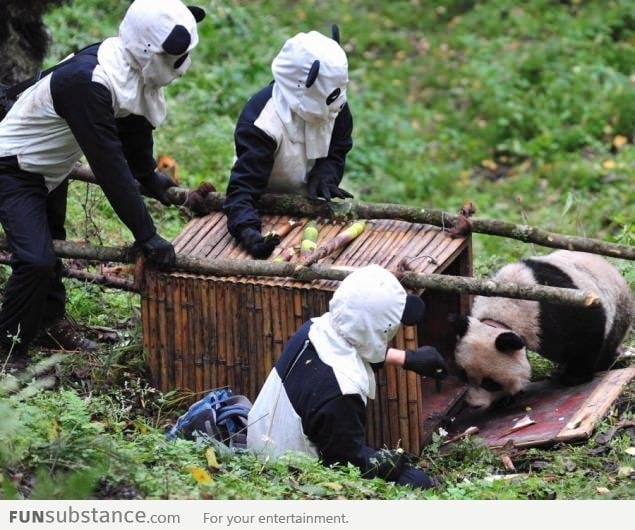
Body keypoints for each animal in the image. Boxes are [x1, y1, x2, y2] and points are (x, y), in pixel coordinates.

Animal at [450, 250, 632, 406]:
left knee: (608, 343)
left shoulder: (555, 307)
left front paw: (574, 377)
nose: (474, 405)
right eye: (464, 377)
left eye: (490, 383)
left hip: (618, 309)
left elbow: (586, 331)